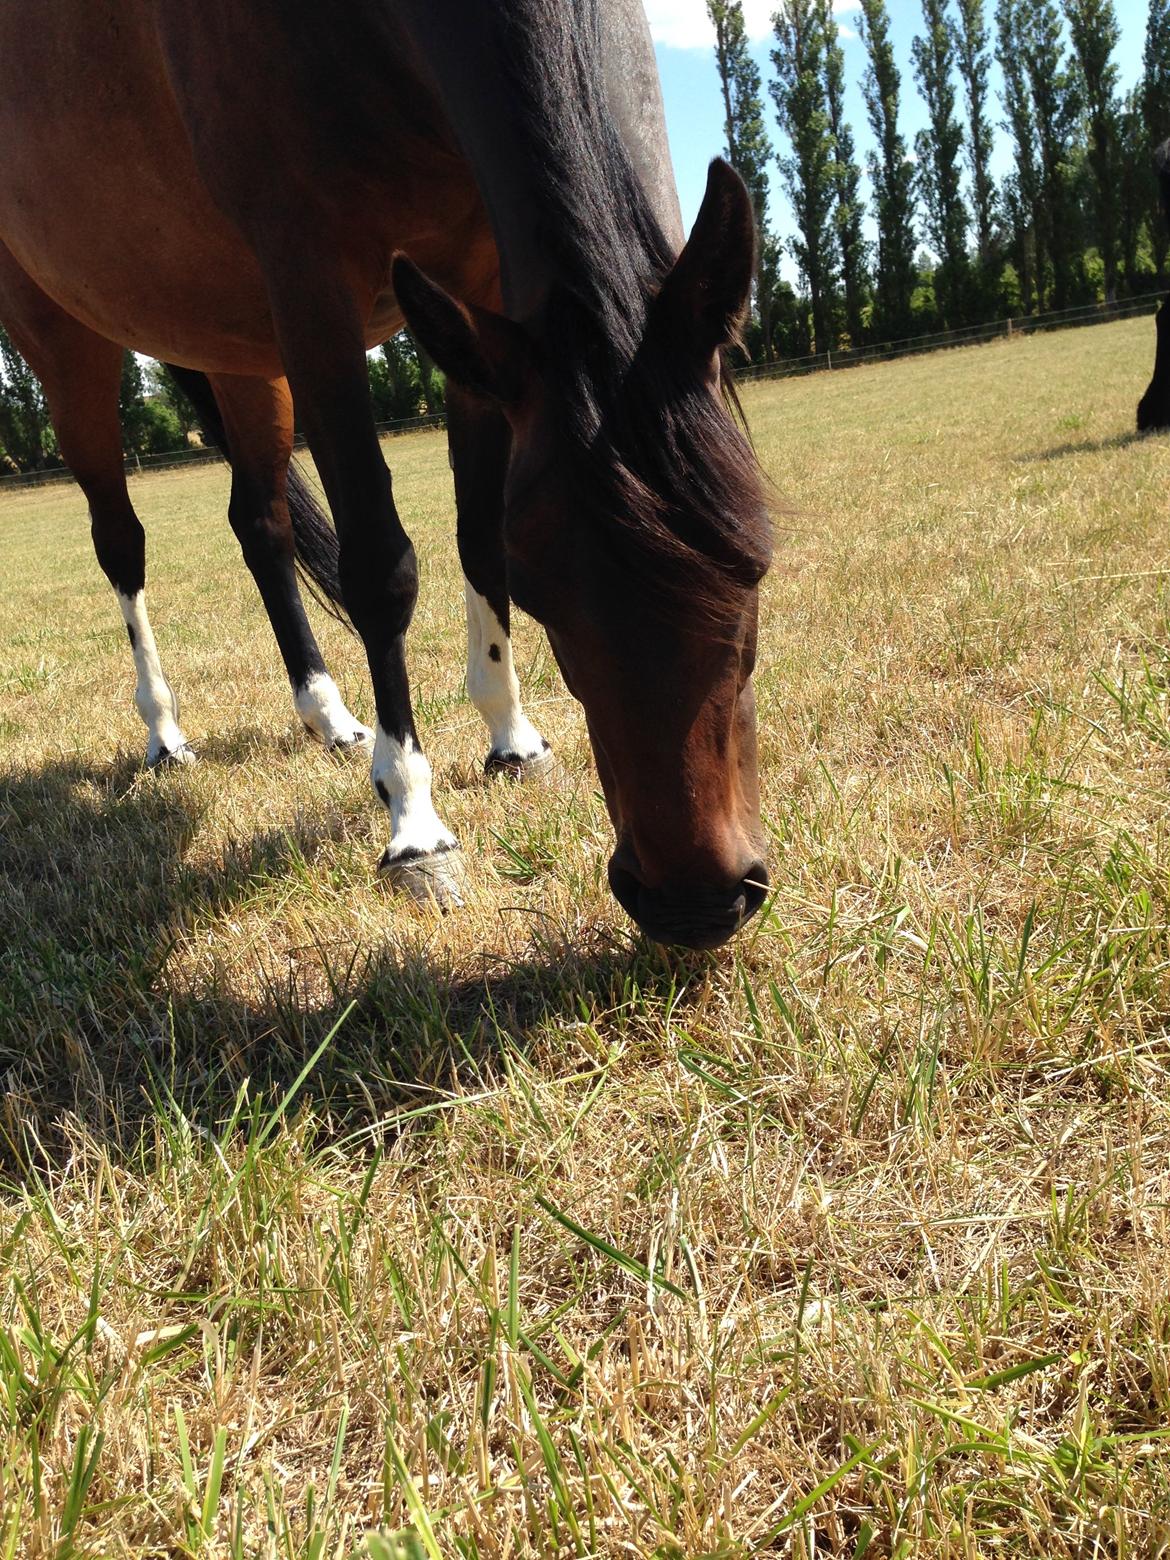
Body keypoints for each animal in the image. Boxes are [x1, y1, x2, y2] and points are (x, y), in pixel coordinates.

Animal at [0, 0, 773, 948]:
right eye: (548, 596)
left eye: (755, 562)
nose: (694, 904)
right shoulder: (312, 287)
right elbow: (382, 568)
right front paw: (415, 824)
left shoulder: (475, 296)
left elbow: (477, 537)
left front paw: (510, 735)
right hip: (66, 342)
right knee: (121, 542)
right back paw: (165, 732)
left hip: (239, 356)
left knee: (260, 525)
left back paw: (328, 714)